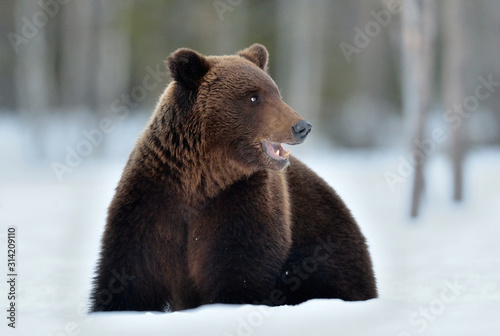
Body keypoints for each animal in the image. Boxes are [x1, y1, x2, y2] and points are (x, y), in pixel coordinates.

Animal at [90, 44, 376, 312]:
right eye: (254, 97)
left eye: (276, 92)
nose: (302, 126)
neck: (201, 178)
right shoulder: (153, 194)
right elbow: (132, 270)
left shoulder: (241, 198)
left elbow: (239, 265)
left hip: (326, 245)